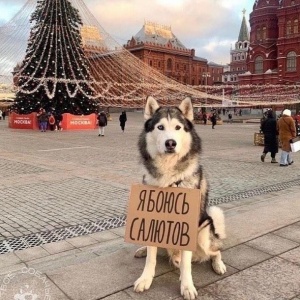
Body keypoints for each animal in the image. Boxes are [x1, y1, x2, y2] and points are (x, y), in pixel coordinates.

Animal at [133, 96, 225, 300]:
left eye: (178, 127)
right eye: (160, 127)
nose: (170, 143)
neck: (168, 179)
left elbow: (186, 264)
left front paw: (187, 286)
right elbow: (151, 258)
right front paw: (145, 278)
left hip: (204, 233)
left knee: (215, 251)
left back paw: (218, 264)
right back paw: (142, 250)